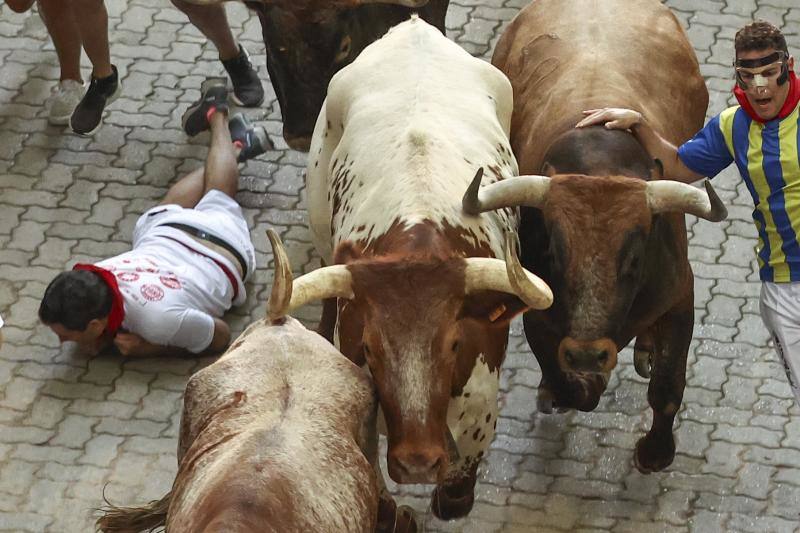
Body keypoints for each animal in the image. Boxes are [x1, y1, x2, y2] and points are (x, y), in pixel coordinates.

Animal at [256, 16, 552, 520]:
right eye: (370, 349)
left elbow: (455, 492)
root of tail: (412, 28)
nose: (417, 463)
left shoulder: (480, 404)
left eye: (454, 343)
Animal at [462, 0, 732, 474]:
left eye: (635, 256)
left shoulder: (681, 295)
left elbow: (668, 384)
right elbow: (567, 381)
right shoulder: (538, 312)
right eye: (554, 250)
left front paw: (655, 451)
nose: (589, 354)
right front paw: (570, 387)